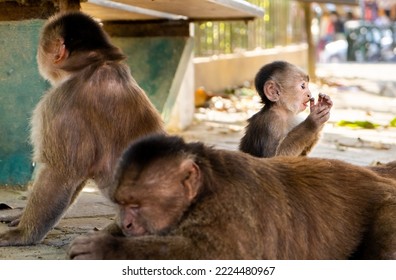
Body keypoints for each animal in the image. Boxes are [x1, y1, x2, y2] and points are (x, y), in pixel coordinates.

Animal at [67, 135, 396, 260]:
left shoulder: (228, 205)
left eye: (136, 206)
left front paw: (108, 248)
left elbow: (218, 255)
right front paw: (110, 234)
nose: (128, 224)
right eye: (122, 206)